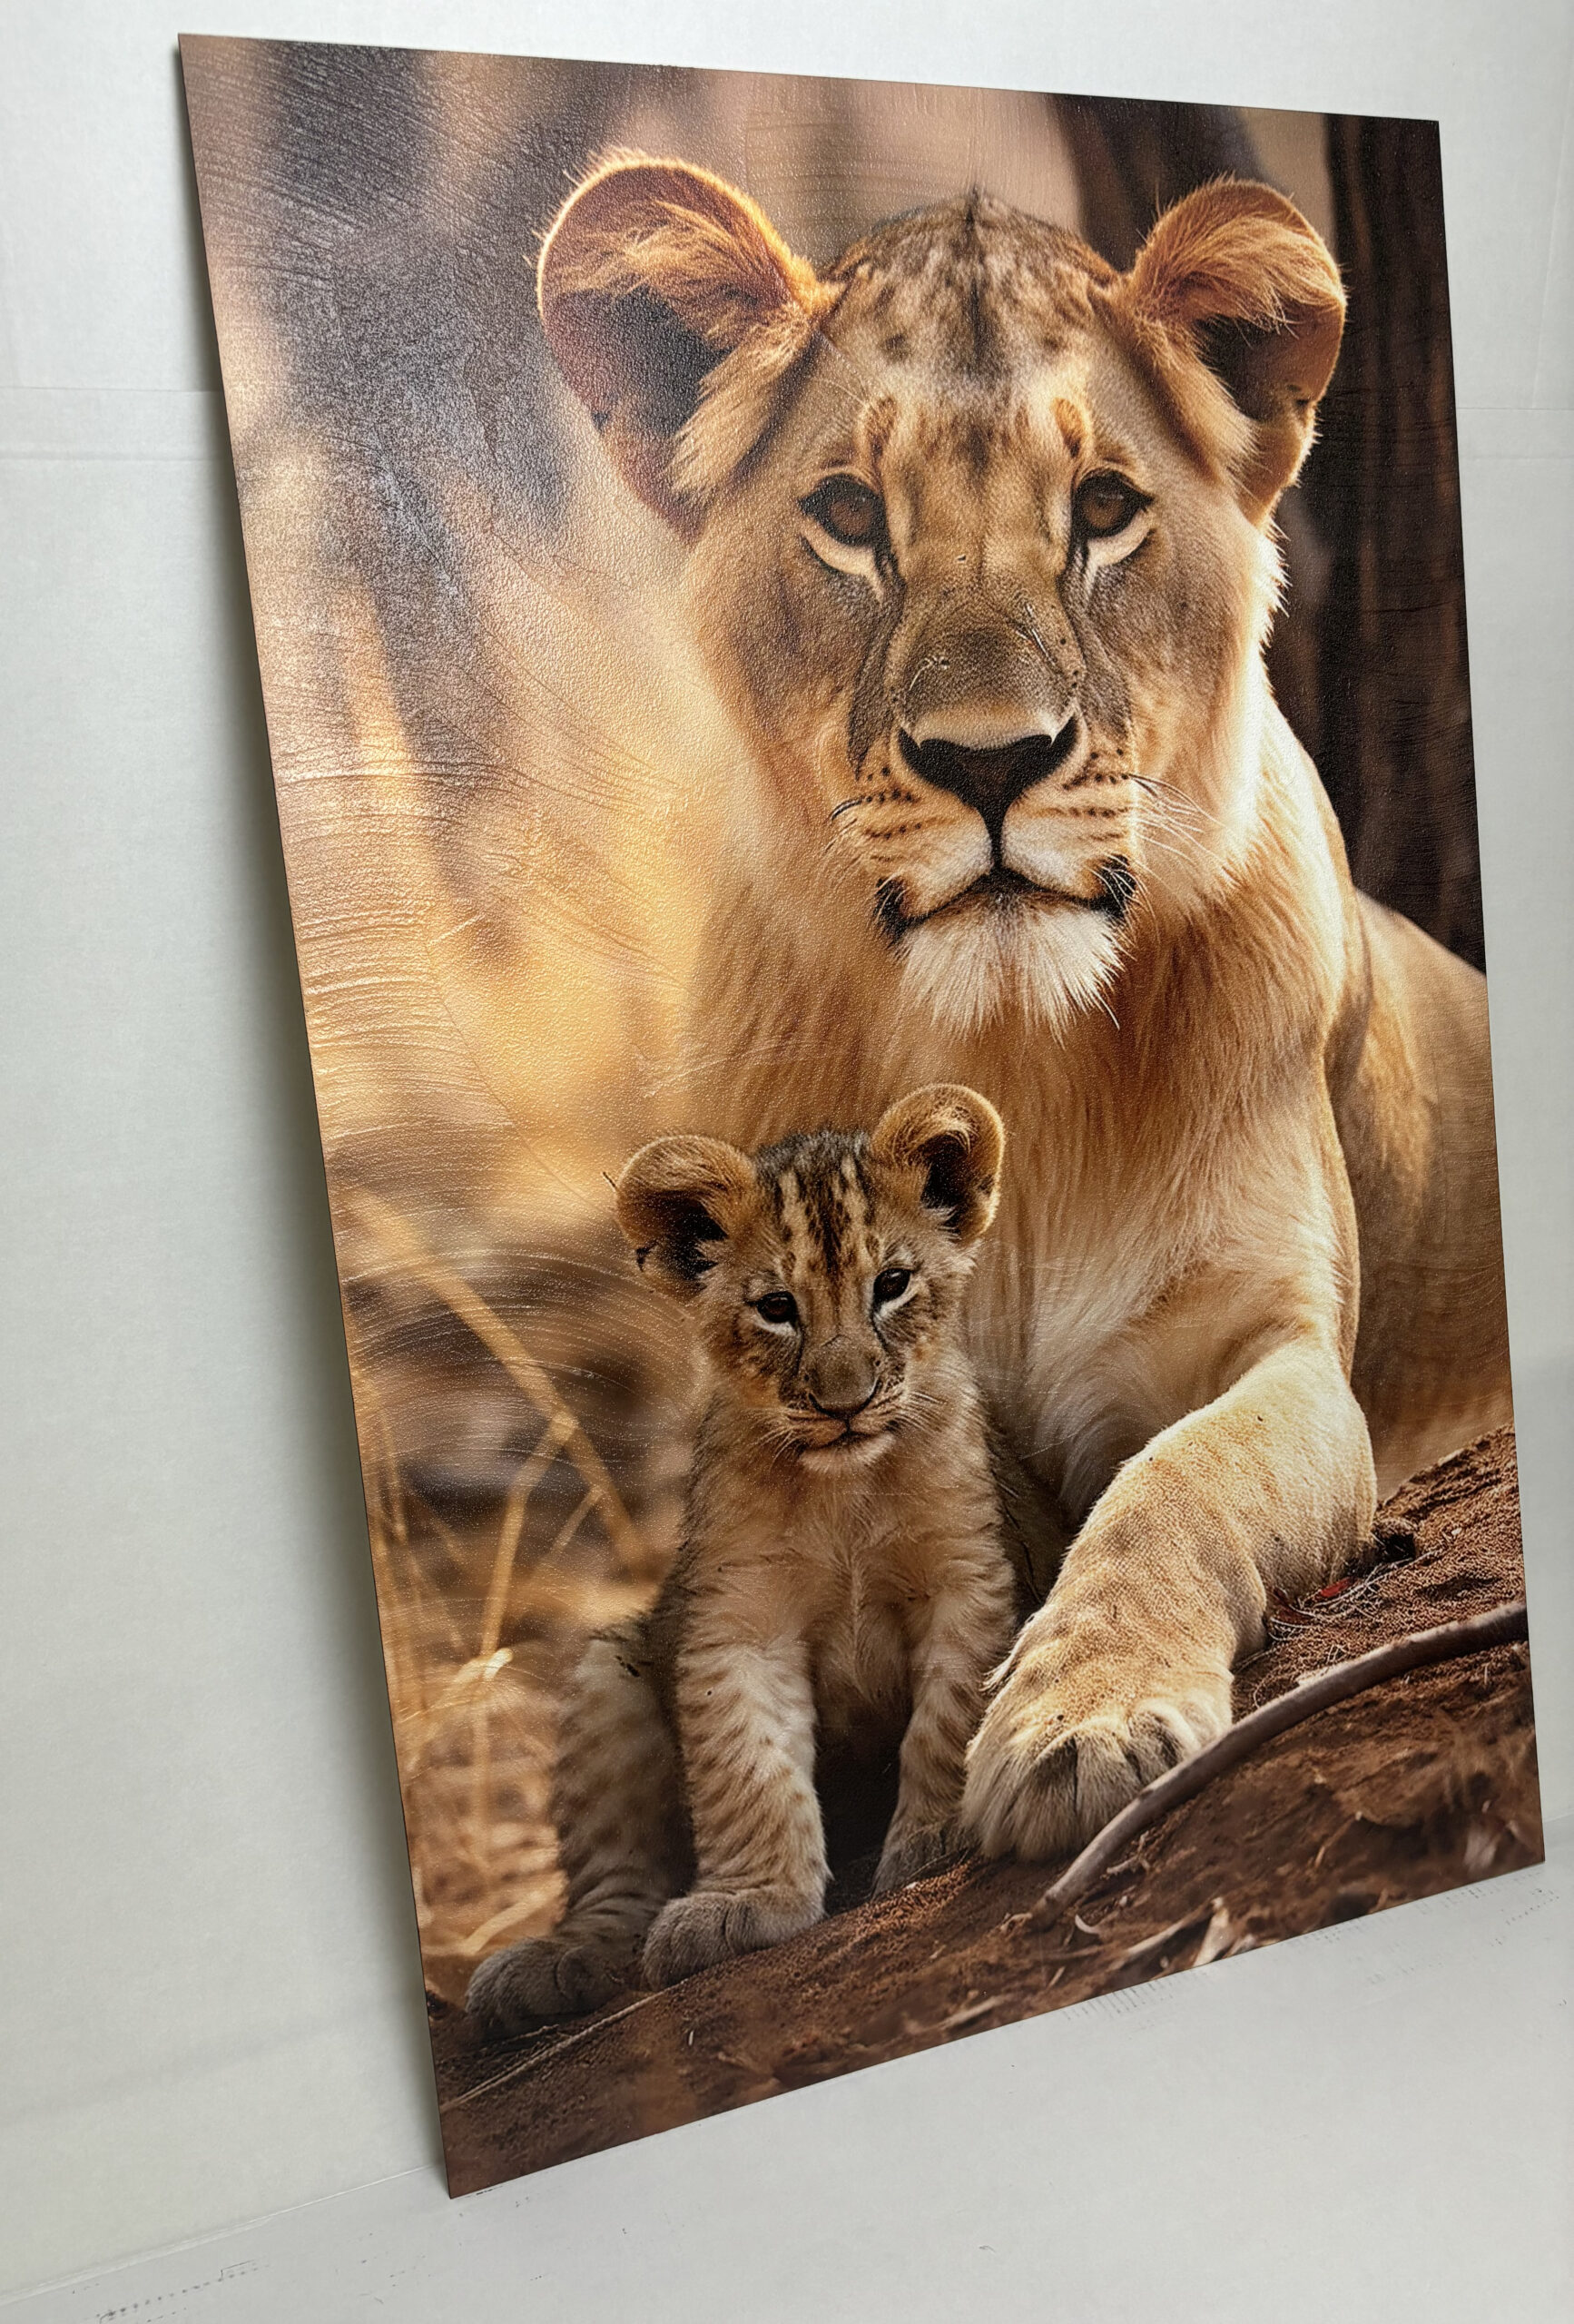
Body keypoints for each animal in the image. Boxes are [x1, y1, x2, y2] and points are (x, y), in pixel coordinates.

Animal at [530, 155, 1512, 1859]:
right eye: (849, 518)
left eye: (1103, 510)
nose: (989, 760)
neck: (1012, 1057)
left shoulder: (1276, 1350)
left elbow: (1177, 1485)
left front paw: (1081, 1722)